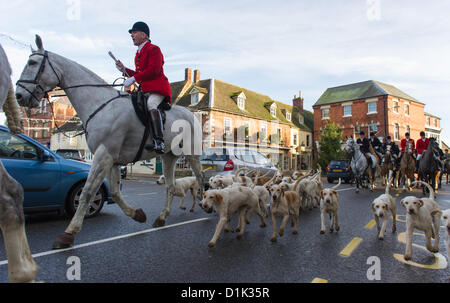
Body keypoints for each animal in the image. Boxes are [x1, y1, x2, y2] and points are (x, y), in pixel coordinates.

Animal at [14, 35, 204, 251]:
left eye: (32, 63)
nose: (19, 95)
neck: (100, 104)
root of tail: (190, 114)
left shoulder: (102, 155)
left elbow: (87, 192)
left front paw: (68, 233)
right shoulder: (113, 160)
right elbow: (115, 192)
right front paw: (137, 214)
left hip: (192, 154)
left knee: (200, 177)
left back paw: (207, 205)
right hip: (168, 156)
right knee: (170, 186)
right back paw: (162, 217)